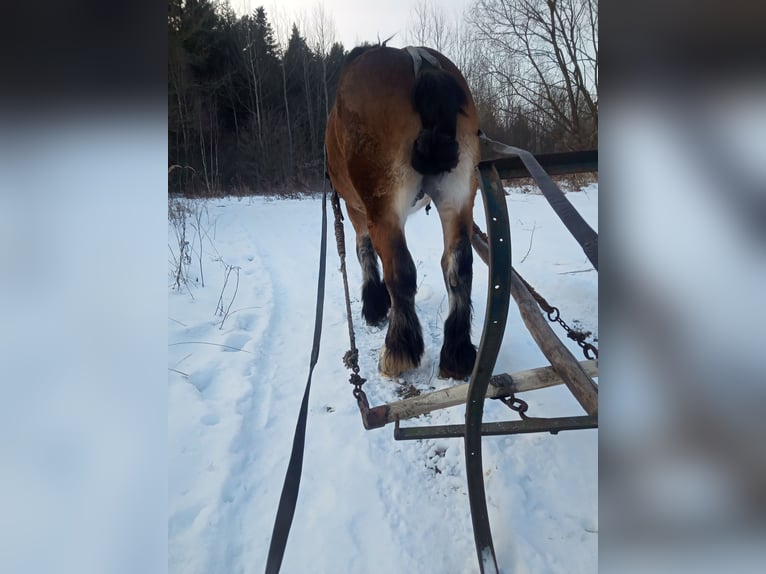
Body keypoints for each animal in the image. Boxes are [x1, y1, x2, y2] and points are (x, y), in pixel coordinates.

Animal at [325, 45, 480, 379]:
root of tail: (418, 60)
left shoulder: (358, 210)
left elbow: (364, 250)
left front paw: (374, 305)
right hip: (458, 196)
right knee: (459, 265)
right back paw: (457, 353)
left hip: (383, 207)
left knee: (400, 270)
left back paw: (398, 349)